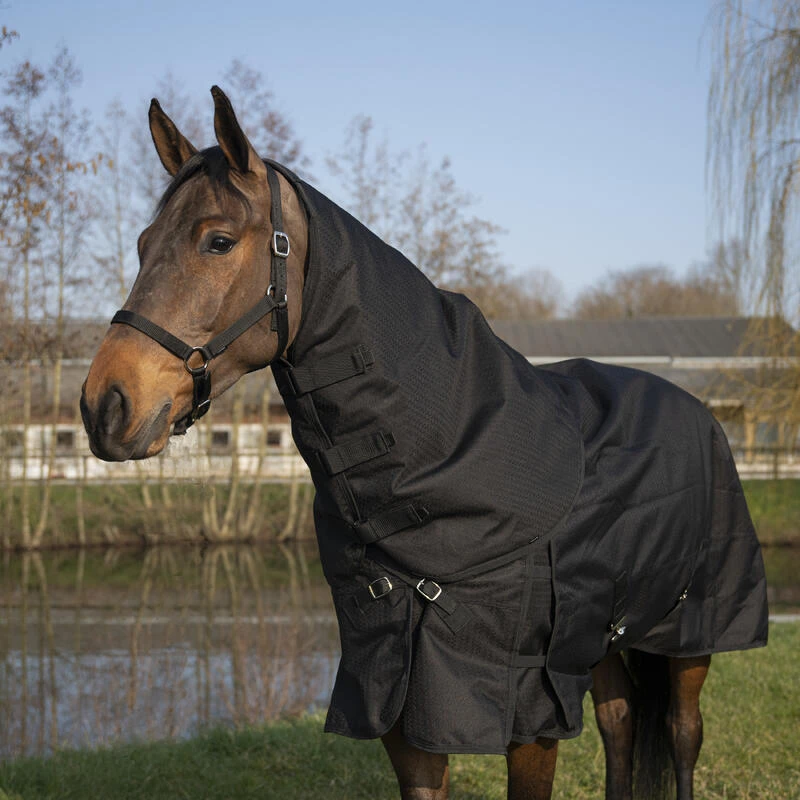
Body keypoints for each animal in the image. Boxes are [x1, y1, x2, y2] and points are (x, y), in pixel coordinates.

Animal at [81, 87, 767, 800]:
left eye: (217, 241)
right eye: (143, 244)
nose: (105, 403)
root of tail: (698, 411)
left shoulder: (529, 706)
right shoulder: (396, 693)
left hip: (690, 633)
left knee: (682, 734)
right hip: (598, 633)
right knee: (622, 724)